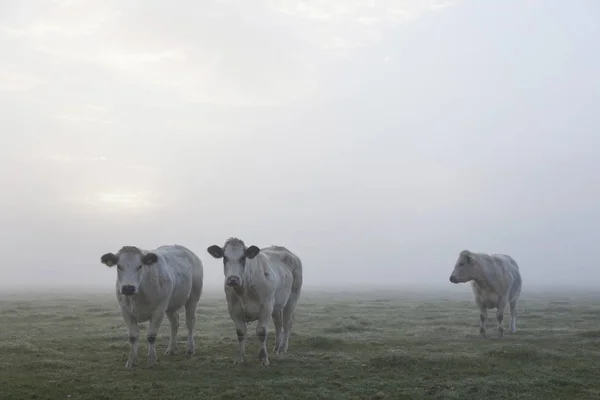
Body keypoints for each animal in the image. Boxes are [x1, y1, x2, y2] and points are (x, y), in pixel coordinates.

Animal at [207, 238, 302, 366]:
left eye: (243, 258)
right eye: (225, 258)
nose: (233, 279)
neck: (244, 290)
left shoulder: (266, 306)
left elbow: (262, 332)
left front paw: (263, 358)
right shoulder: (233, 309)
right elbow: (241, 332)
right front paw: (239, 357)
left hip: (292, 299)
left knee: (287, 323)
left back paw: (282, 349)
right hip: (276, 305)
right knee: (278, 323)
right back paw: (277, 347)